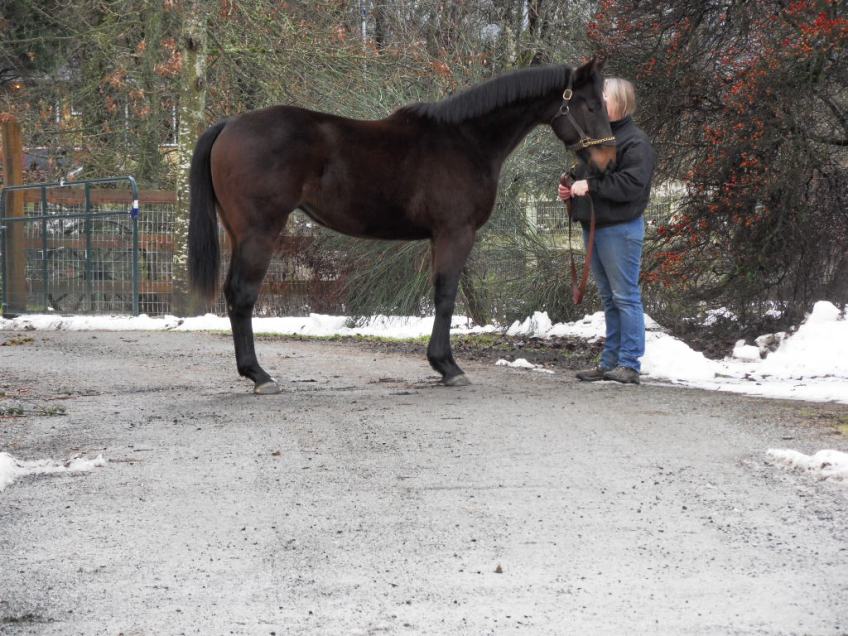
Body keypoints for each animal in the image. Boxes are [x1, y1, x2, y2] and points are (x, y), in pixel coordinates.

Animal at [188, 57, 616, 394]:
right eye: (591, 104)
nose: (608, 160)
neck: (467, 140)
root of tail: (229, 125)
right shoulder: (455, 233)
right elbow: (445, 295)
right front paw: (448, 366)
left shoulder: (440, 236)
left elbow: (441, 294)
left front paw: (442, 364)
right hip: (259, 233)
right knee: (242, 295)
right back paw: (259, 376)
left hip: (239, 233)